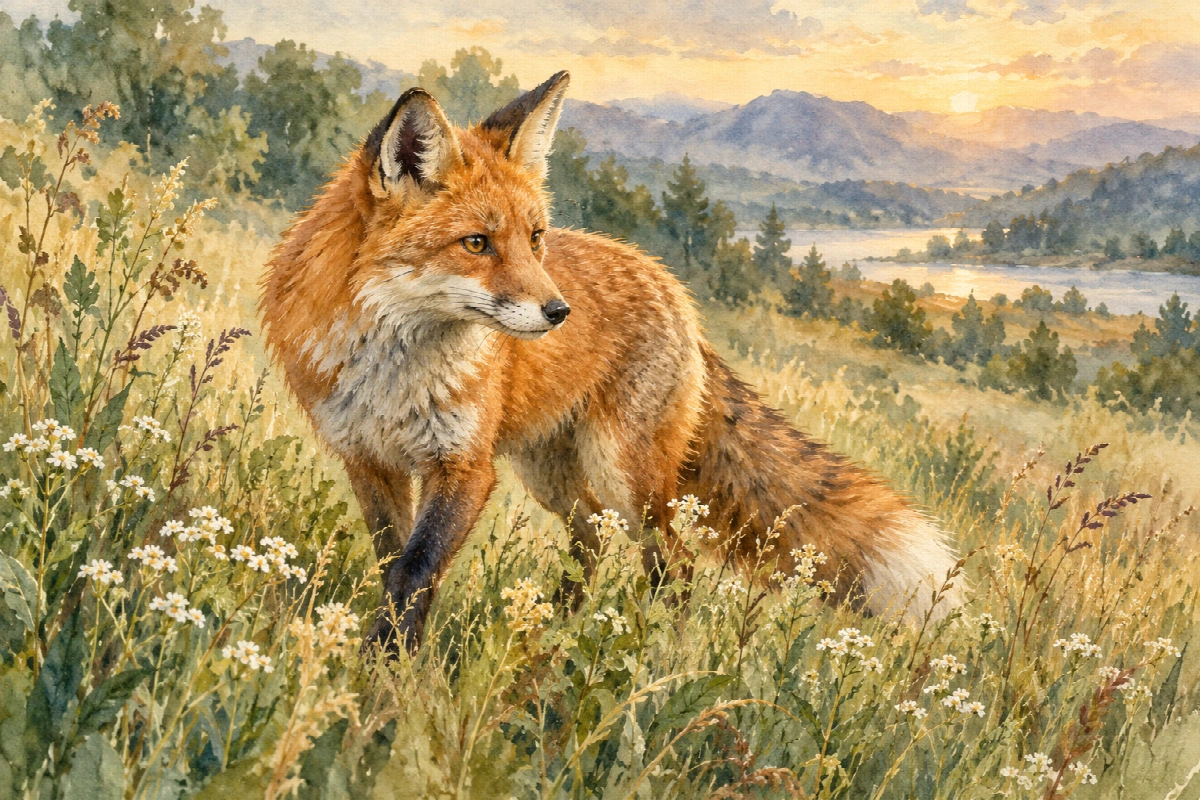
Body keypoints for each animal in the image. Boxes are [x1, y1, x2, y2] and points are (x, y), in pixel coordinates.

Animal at [260, 70, 961, 653]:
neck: (393, 370)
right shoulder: (368, 459)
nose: (558, 312)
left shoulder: (464, 466)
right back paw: (546, 635)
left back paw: (654, 657)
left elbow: (416, 569)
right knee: (591, 546)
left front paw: (386, 669)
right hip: (553, 472)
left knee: (674, 565)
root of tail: (675, 292)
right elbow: (392, 564)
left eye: (535, 238)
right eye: (477, 244)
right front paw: (382, 662)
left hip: (626, 479)